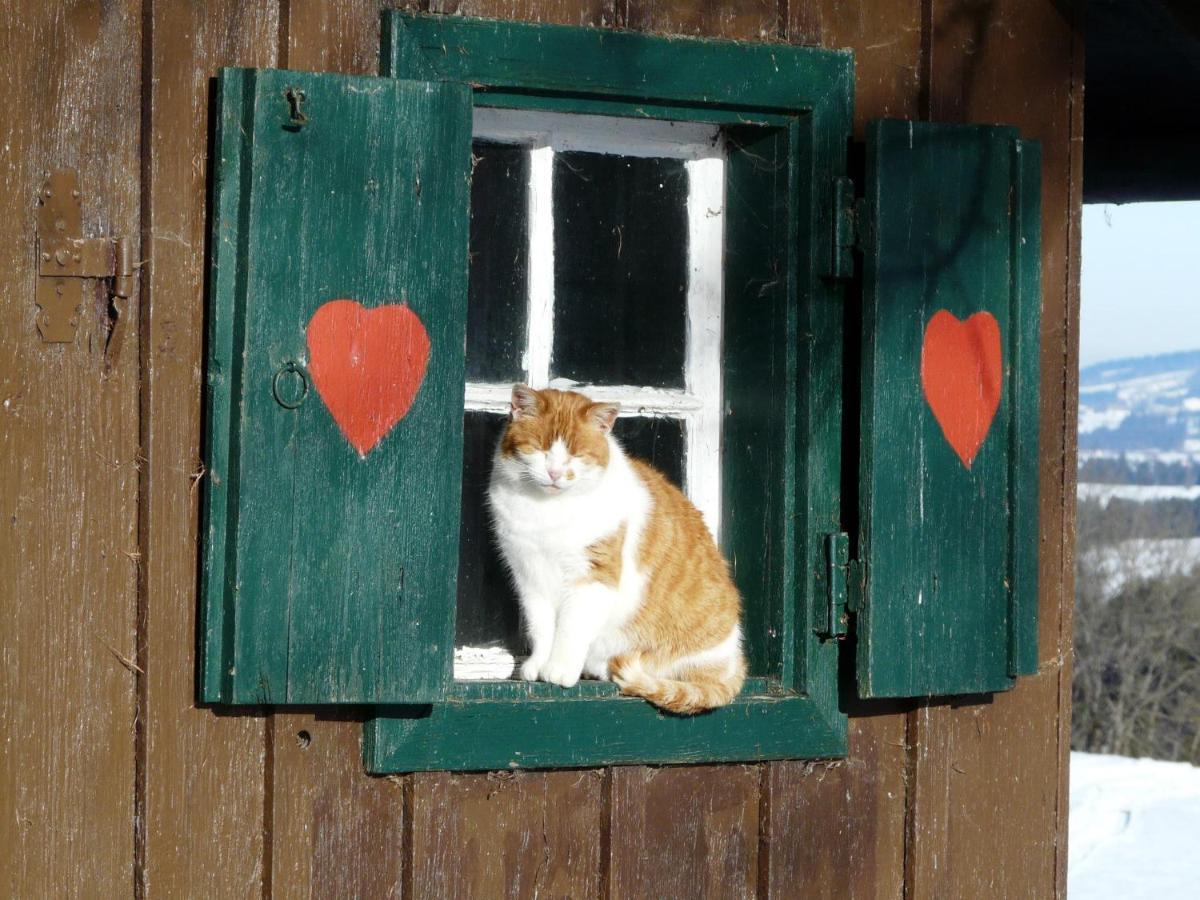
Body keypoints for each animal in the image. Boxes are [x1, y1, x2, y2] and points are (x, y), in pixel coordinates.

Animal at [482, 384, 744, 715]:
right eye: (540, 448)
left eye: (576, 454)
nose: (555, 473)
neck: (548, 511)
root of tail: (736, 661)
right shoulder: (529, 578)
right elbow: (541, 627)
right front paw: (538, 664)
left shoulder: (592, 578)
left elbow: (571, 627)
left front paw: (559, 669)